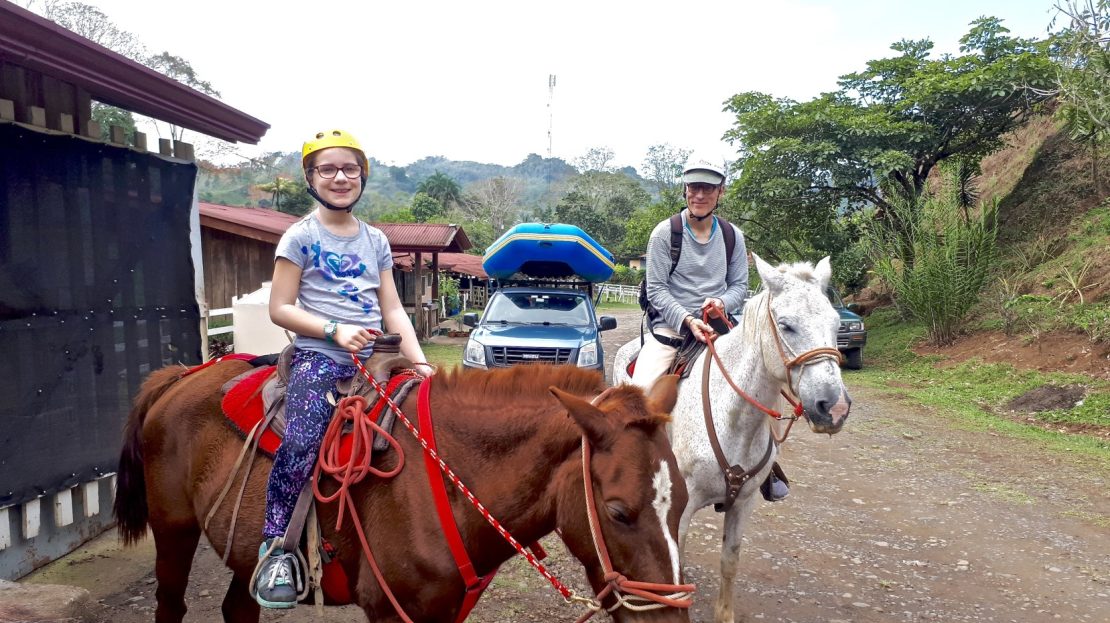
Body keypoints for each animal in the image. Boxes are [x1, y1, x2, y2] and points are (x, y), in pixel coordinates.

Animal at [113, 360, 696, 623]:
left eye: (684, 506)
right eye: (618, 512)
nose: (671, 618)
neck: (448, 485)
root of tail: (183, 374)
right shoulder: (392, 613)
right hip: (174, 532)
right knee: (171, 602)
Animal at [613, 253, 852, 623]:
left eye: (837, 323)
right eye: (787, 325)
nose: (834, 407)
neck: (735, 418)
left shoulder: (744, 502)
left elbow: (729, 559)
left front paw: (723, 613)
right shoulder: (684, 504)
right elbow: (676, 558)